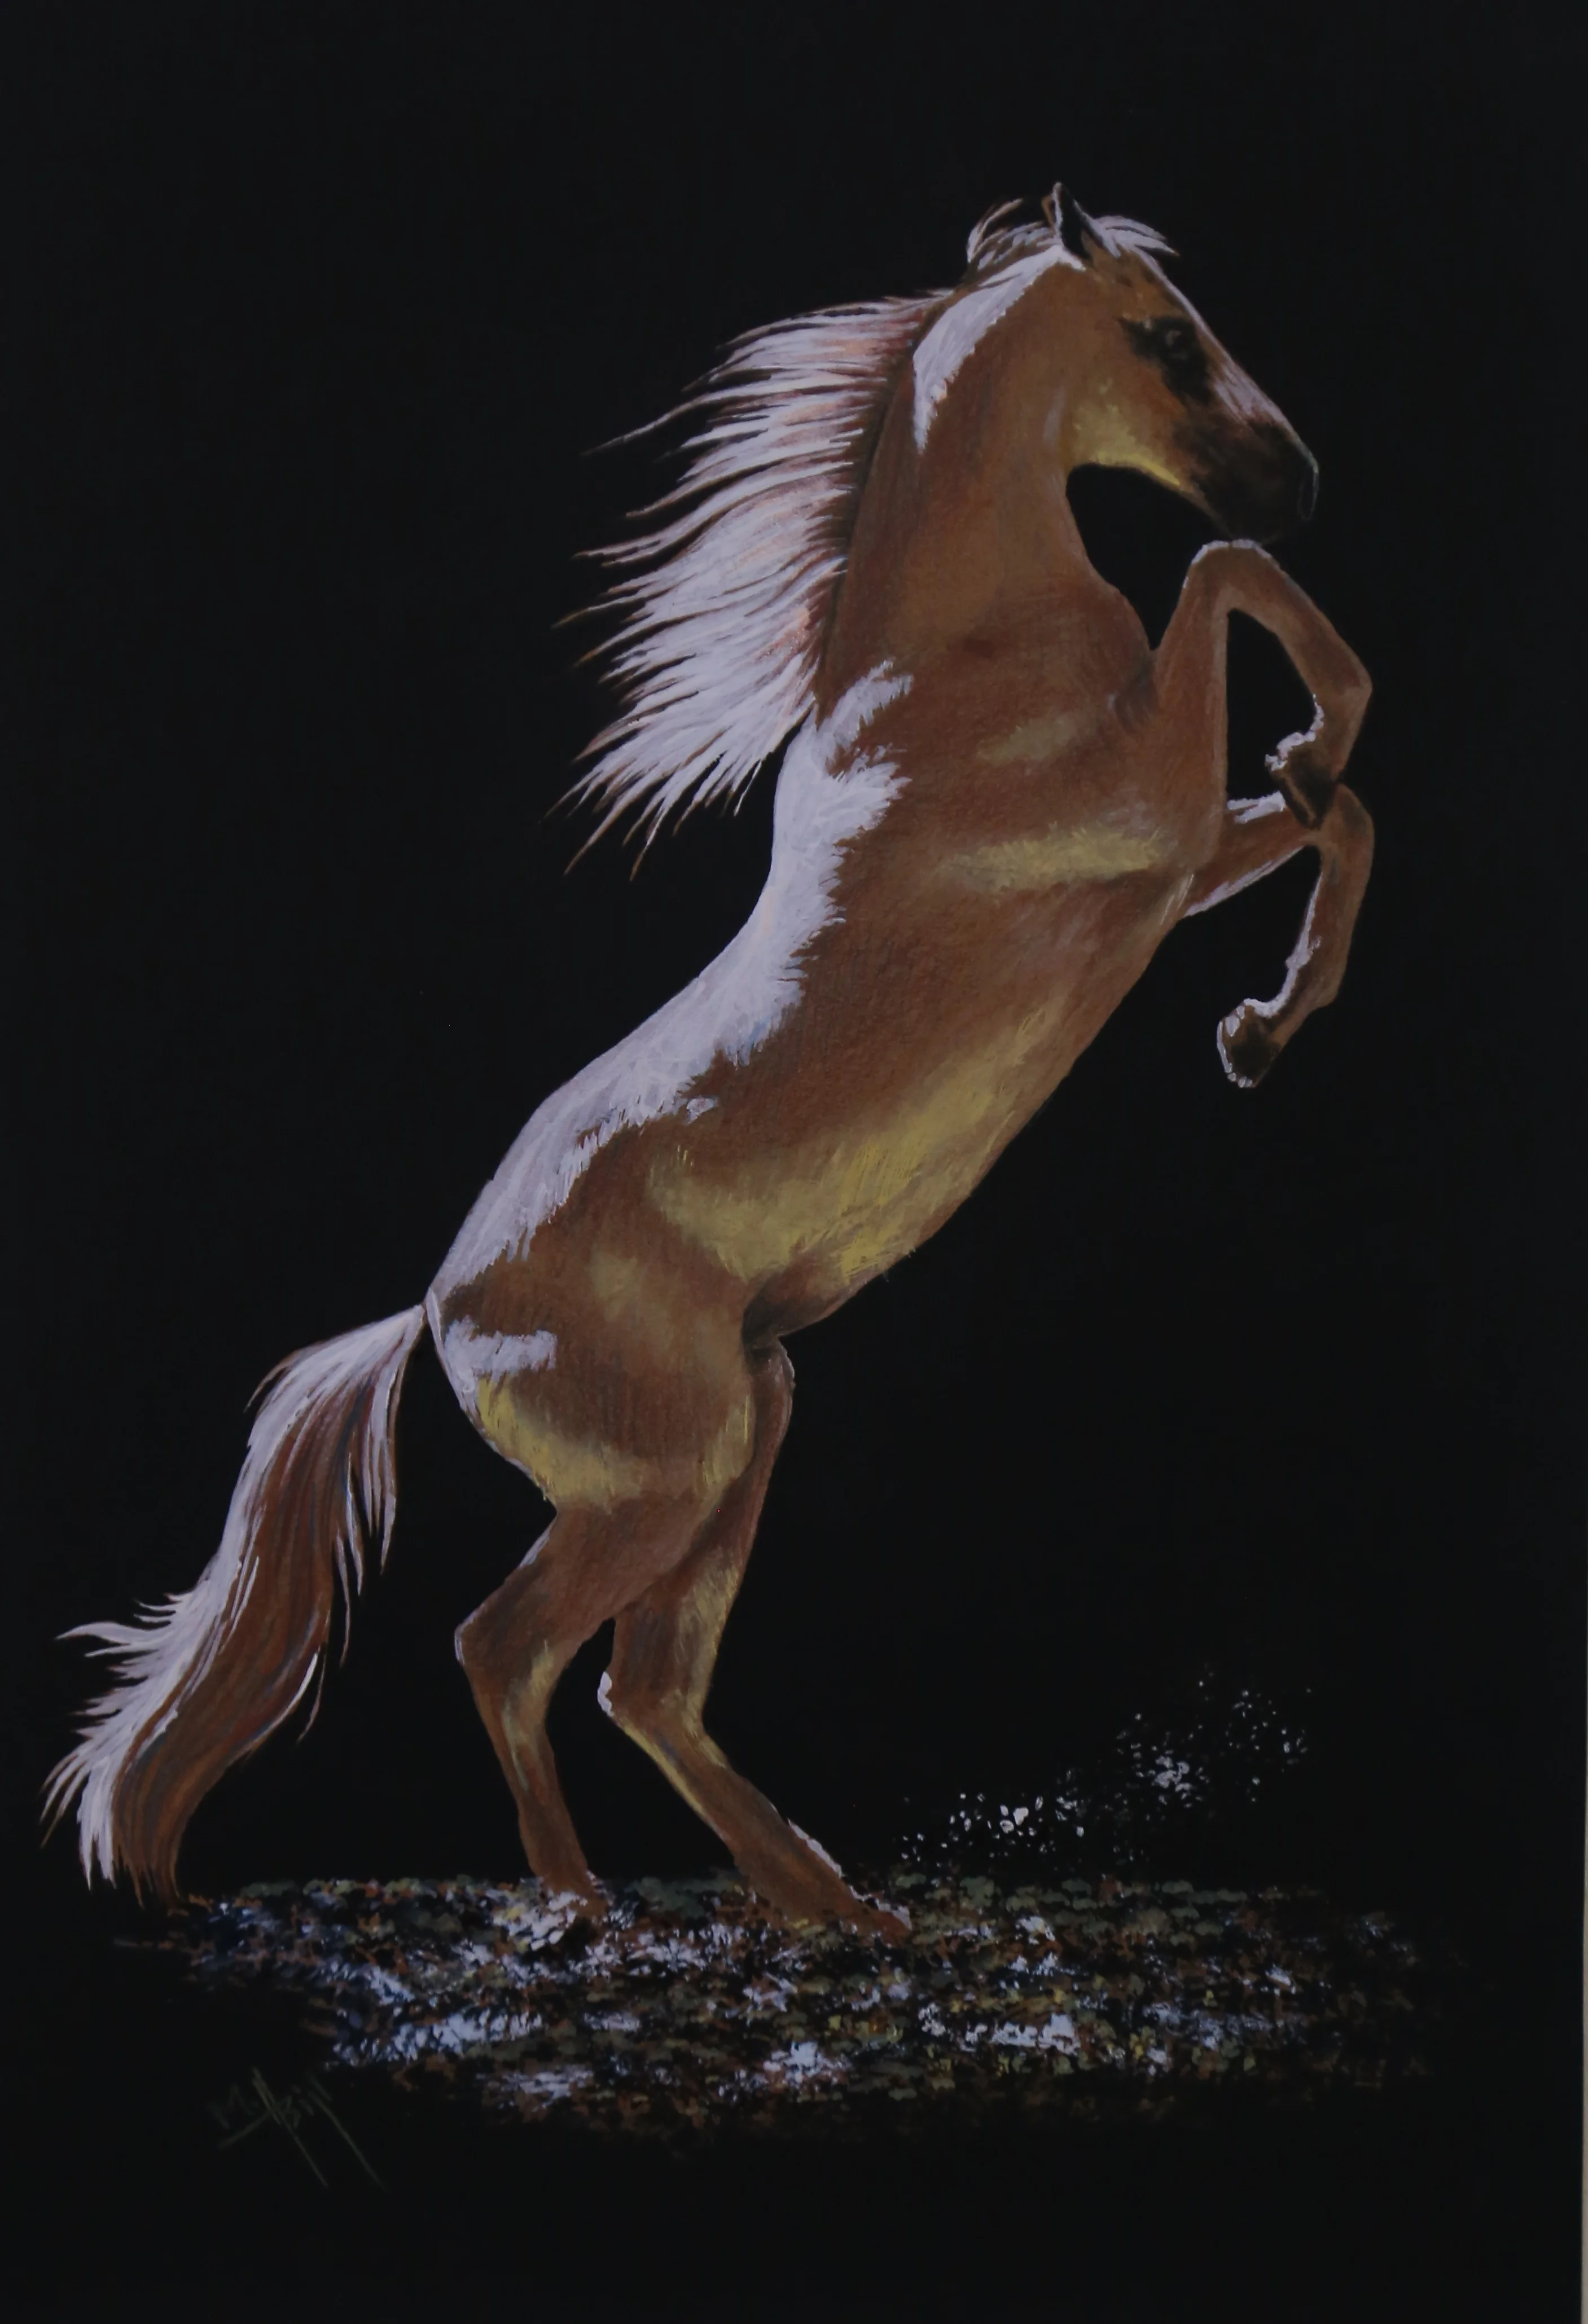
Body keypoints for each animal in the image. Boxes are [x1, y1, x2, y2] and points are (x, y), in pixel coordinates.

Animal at [46, 184, 1372, 1940]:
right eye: (1167, 338)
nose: (1302, 480)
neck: (948, 668)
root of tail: (434, 1311)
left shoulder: (1162, 869)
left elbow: (1331, 820)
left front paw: (1263, 1020)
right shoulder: (1142, 811)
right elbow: (1228, 584)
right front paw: (1313, 744)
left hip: (755, 1415)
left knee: (642, 1685)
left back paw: (829, 1898)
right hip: (664, 1477)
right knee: (511, 1649)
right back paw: (586, 1906)